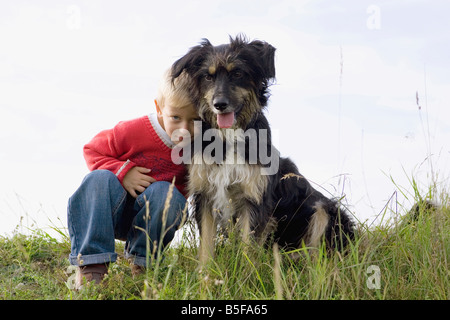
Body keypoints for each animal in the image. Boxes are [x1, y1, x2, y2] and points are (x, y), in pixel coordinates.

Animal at [171, 35, 354, 264]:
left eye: (237, 73)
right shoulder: (205, 195)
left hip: (325, 210)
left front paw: (245, 273)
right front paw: (204, 274)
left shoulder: (254, 198)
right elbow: (206, 248)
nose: (219, 104)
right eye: (208, 77)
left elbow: (247, 249)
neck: (230, 136)